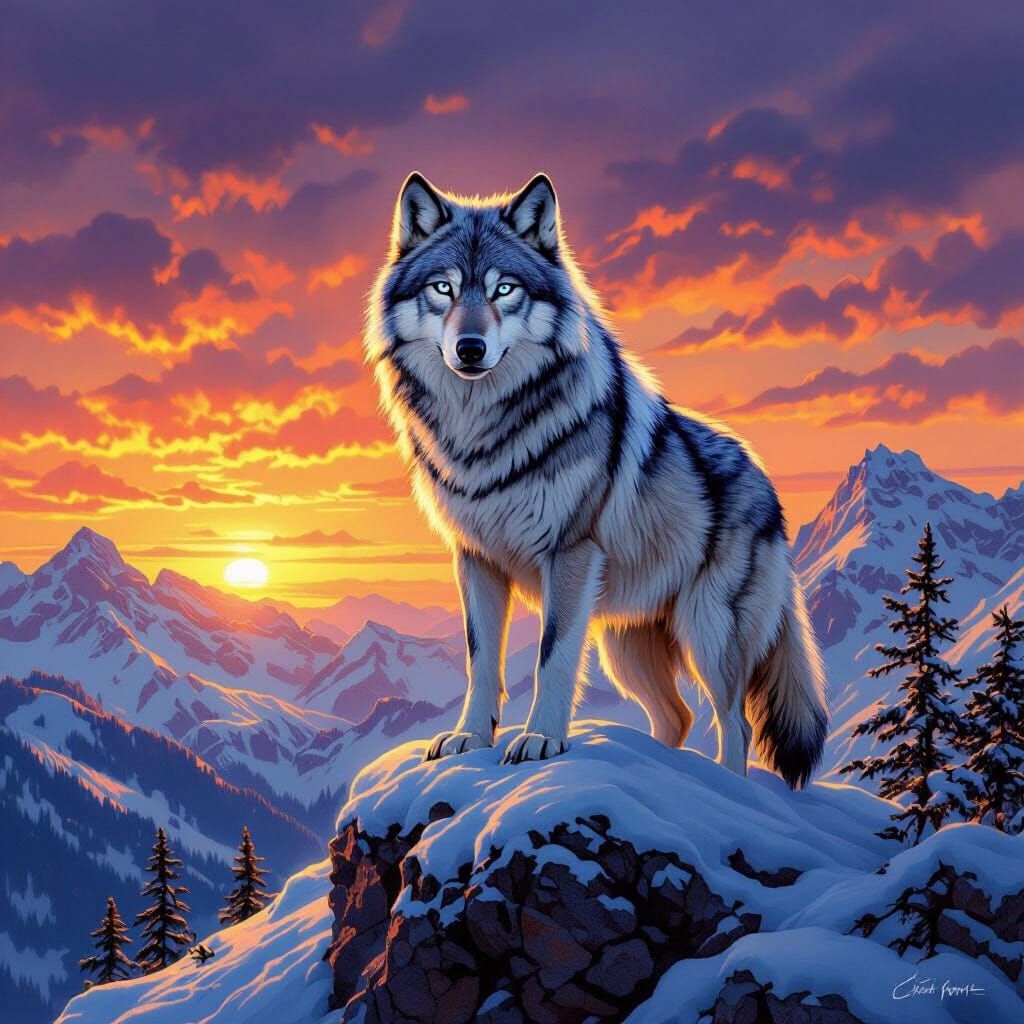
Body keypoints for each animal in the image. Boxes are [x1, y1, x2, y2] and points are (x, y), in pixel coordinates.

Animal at [365, 172, 829, 786]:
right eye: (443, 288)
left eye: (504, 290)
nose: (470, 348)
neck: (483, 432)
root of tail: (768, 484)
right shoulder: (475, 559)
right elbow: (480, 660)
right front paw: (470, 738)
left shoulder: (570, 554)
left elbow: (552, 657)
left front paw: (541, 739)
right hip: (625, 646)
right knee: (678, 717)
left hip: (708, 631)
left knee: (736, 723)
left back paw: (729, 786)